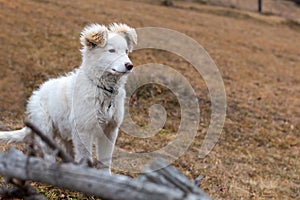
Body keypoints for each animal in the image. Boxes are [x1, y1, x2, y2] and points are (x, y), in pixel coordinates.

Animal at [0, 22, 138, 173]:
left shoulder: (110, 130)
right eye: (111, 51)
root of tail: (36, 93)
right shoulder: (83, 130)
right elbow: (85, 159)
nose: (130, 66)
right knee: (49, 156)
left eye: (126, 51)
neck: (102, 89)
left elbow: (105, 161)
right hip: (46, 131)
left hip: (67, 136)